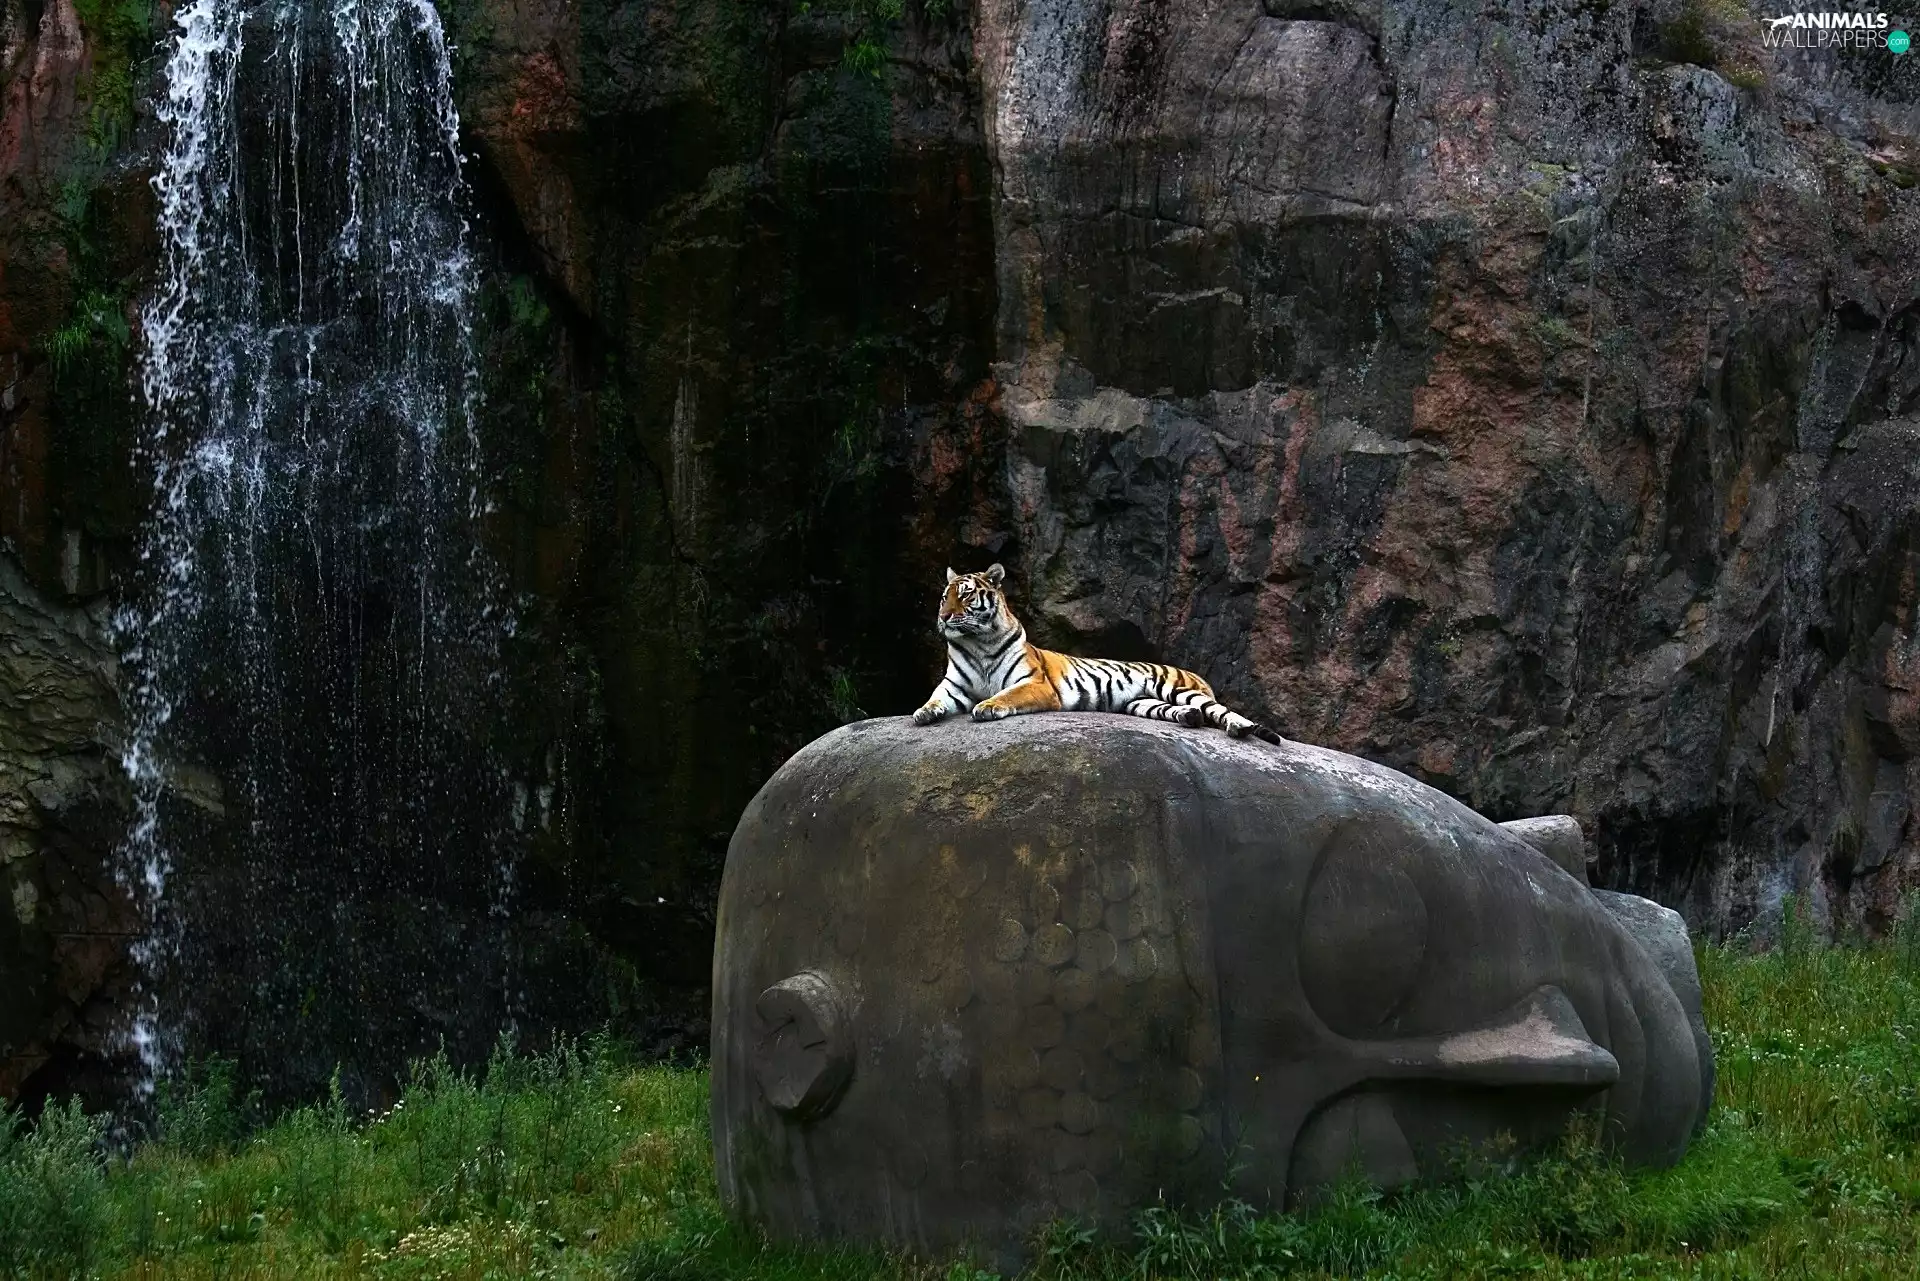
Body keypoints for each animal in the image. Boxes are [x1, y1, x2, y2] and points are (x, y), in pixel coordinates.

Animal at [910, 564, 1283, 743]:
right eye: (944, 597)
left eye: (966, 594)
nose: (944, 617)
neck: (978, 642)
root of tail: (1198, 676)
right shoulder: (954, 687)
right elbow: (935, 698)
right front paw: (923, 713)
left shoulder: (1035, 684)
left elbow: (1007, 695)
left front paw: (987, 707)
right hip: (1143, 702)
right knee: (1189, 713)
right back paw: (1189, 719)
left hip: (1177, 688)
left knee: (1221, 711)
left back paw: (1241, 728)